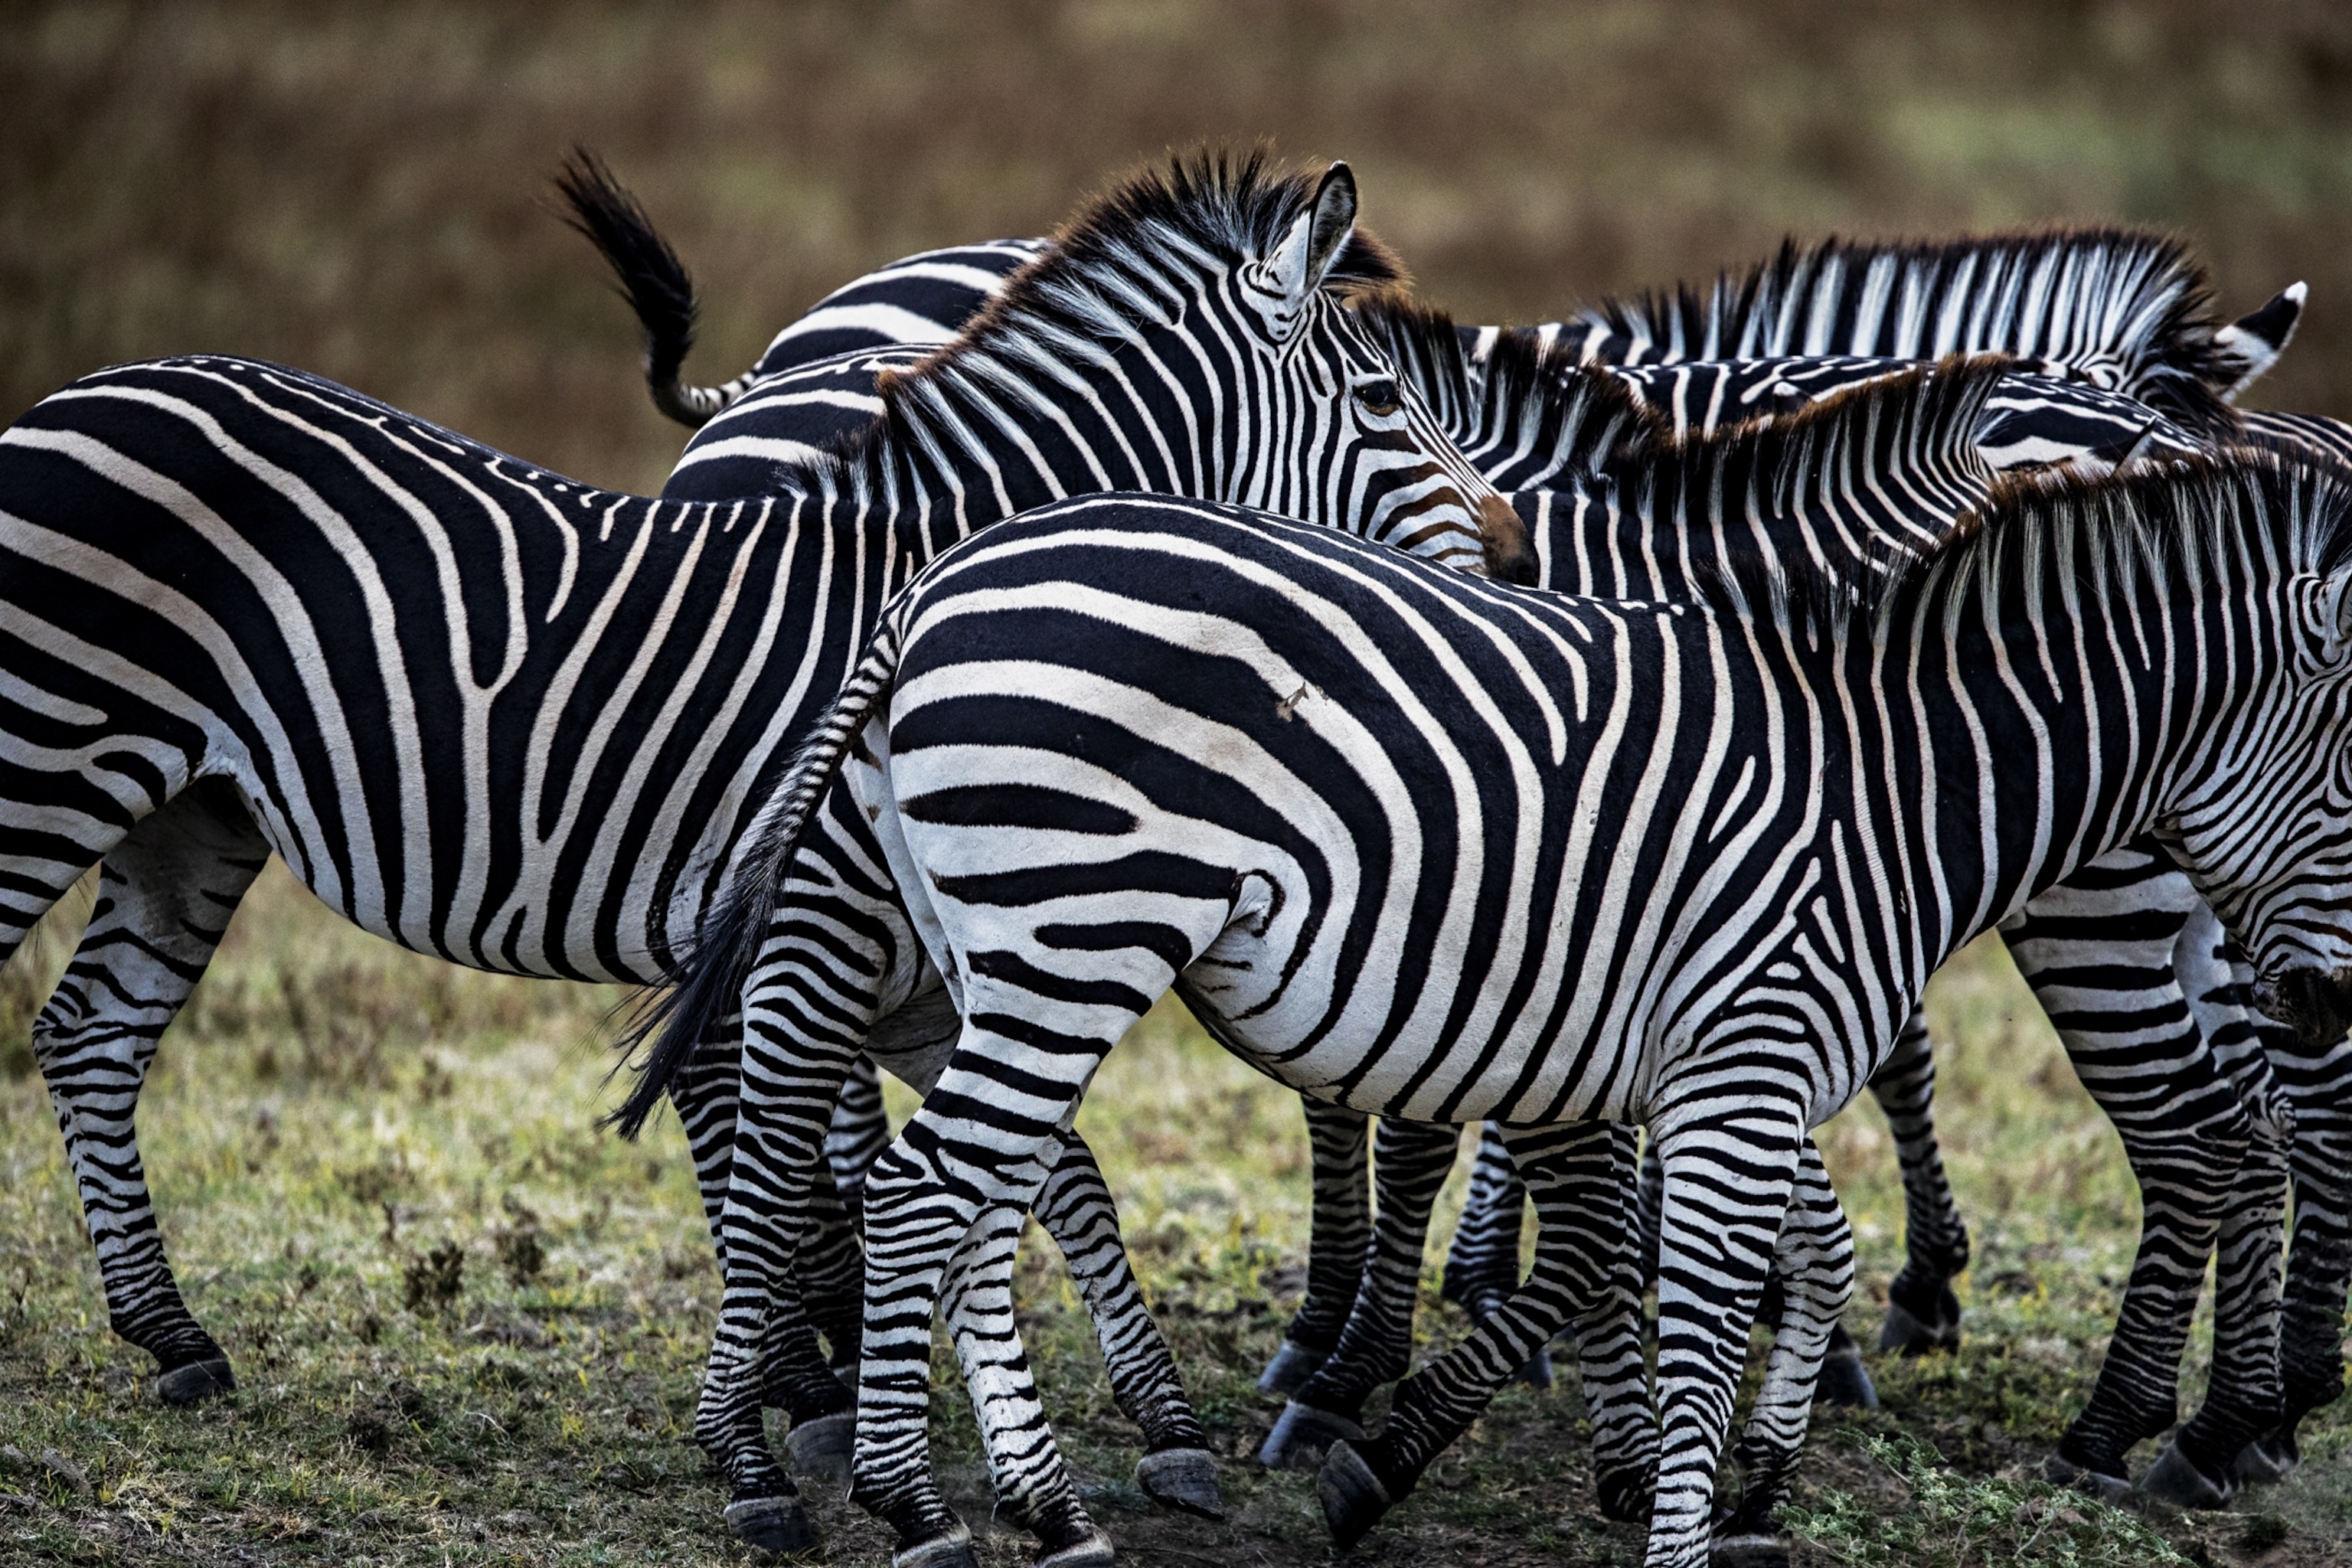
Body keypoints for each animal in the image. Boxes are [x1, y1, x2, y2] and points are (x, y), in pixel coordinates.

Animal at [0, 147, 1525, 1552]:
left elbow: (1042, 1170)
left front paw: (1137, 1430)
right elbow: (797, 1158)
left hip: (192, 811)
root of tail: (77, 397)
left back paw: (175, 1339)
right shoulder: (813, 924)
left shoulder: (936, 949)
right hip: (51, 756)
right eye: (1382, 402)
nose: (1512, 560)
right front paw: (785, 1435)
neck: (925, 585)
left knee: (93, 1031)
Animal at [638, 417, 2352, 1568]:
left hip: (994, 950)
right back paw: (913, 1501)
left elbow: (1771, 1256)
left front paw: (1735, 1481)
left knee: (989, 1198)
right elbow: (1695, 1292)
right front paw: (1673, 1518)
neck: (1890, 788)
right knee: (926, 1195)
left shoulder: (1711, 1055)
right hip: (1071, 937)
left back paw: (1044, 1500)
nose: (2332, 1005)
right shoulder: (1744, 1054)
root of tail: (934, 583)